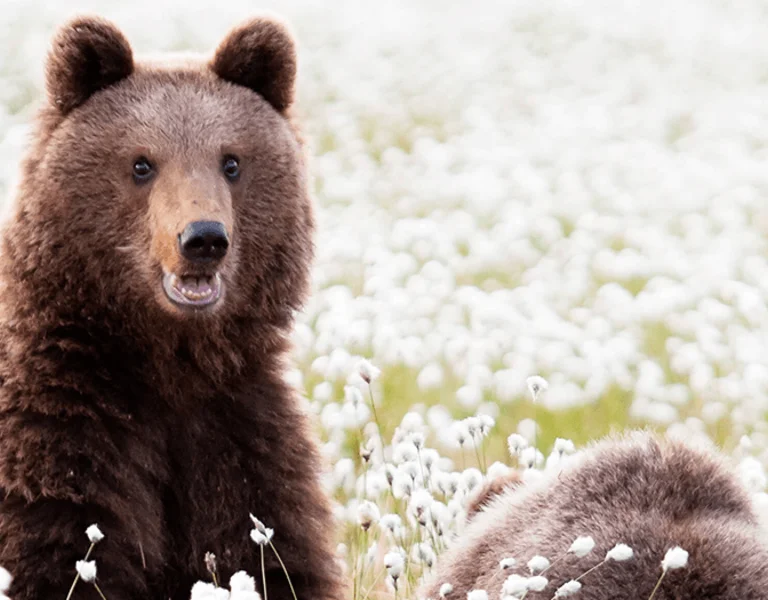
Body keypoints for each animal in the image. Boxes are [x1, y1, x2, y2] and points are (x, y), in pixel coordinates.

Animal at [0, 15, 343, 600]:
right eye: (142, 163)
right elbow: (61, 549)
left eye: (231, 161)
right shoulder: (57, 428)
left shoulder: (236, 431)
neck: (166, 361)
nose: (204, 238)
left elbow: (270, 554)